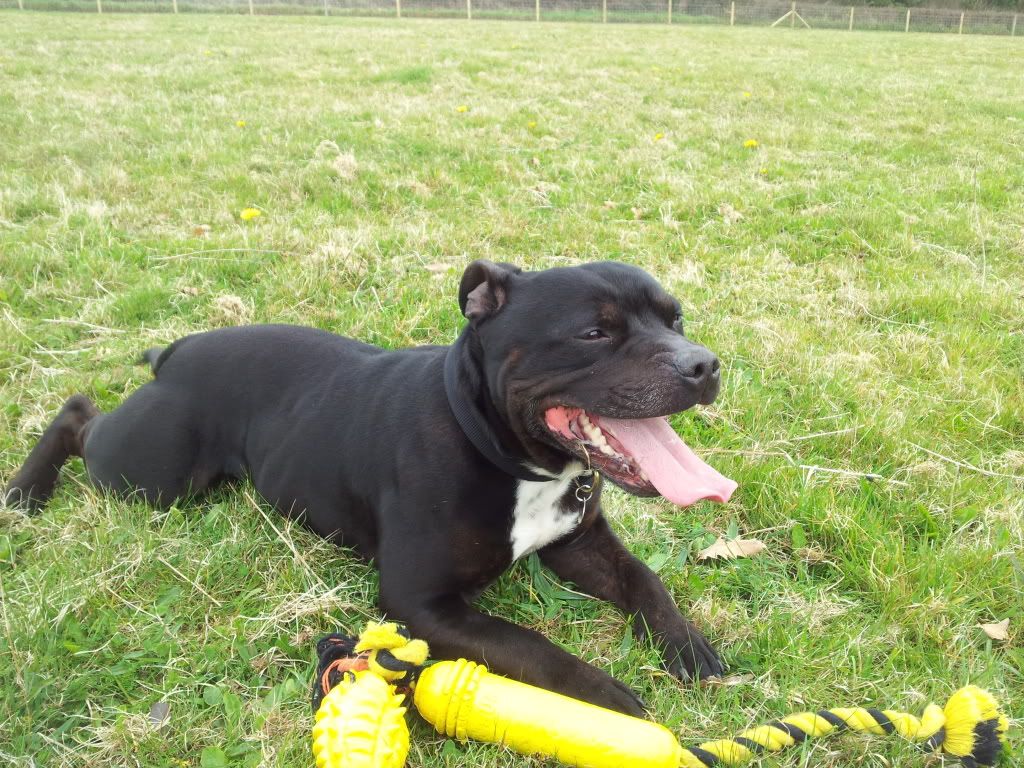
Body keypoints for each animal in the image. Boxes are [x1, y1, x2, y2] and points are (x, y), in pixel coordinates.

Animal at [4, 262, 737, 720]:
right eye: (594, 332)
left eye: (675, 321)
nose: (703, 363)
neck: (500, 450)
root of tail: (178, 350)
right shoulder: (422, 603)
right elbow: (530, 645)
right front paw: (605, 698)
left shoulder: (578, 543)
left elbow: (645, 580)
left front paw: (689, 648)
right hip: (148, 475)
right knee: (78, 411)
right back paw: (25, 491)